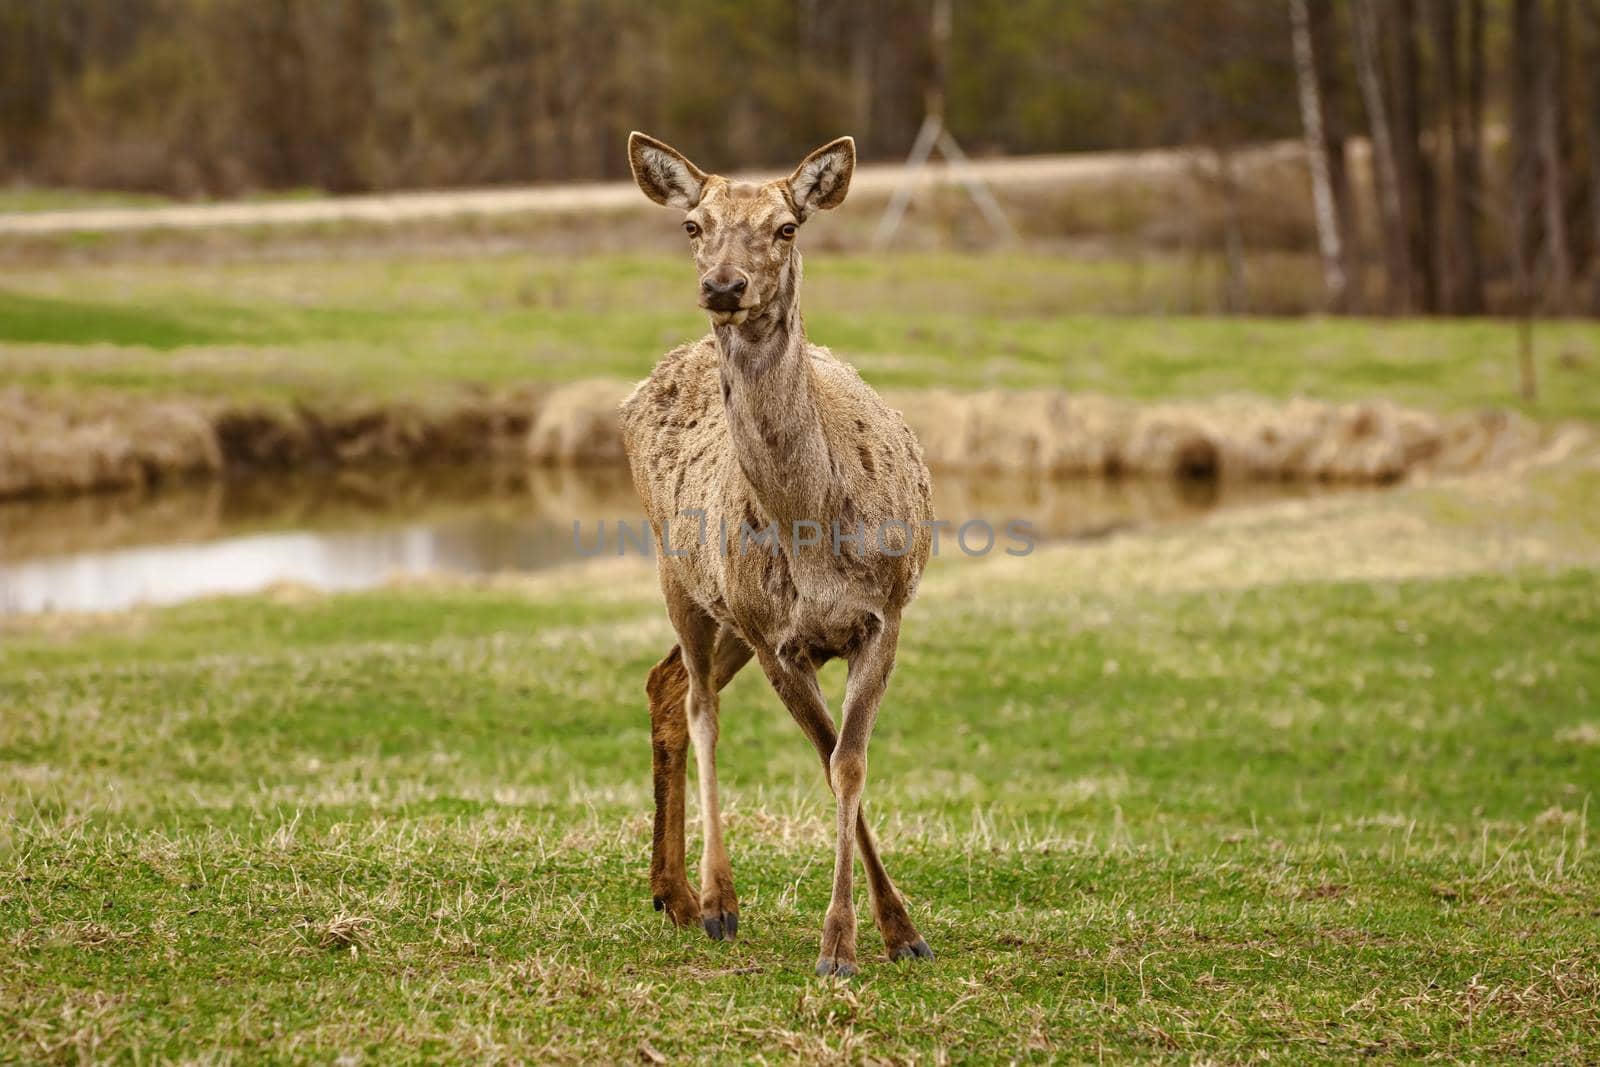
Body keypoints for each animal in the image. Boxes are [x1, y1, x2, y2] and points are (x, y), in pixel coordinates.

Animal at [614, 131, 934, 979]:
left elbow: (848, 763)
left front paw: (895, 932)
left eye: (787, 226)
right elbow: (830, 759)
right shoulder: (778, 639)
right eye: (693, 224)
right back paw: (714, 897)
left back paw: (669, 892)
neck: (813, 529)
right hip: (685, 576)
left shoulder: (883, 614)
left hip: (730, 613)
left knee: (664, 683)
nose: (725, 286)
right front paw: (844, 943)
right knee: (698, 703)